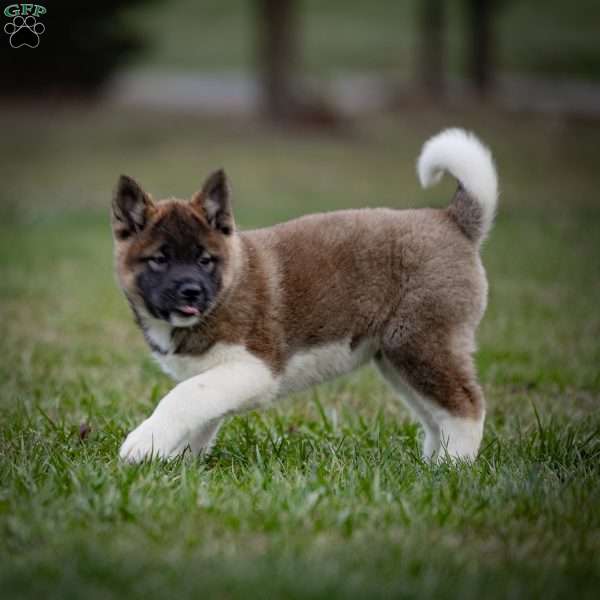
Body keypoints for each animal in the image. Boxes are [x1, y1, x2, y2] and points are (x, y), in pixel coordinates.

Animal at [111, 127, 496, 464]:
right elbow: (199, 415)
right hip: (396, 359)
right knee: (435, 415)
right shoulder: (213, 375)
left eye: (204, 260)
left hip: (421, 343)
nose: (191, 291)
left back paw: (452, 465)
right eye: (160, 259)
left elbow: (184, 397)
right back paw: (431, 463)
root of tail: (450, 219)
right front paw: (176, 461)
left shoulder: (254, 368)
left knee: (466, 405)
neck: (225, 289)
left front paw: (144, 444)